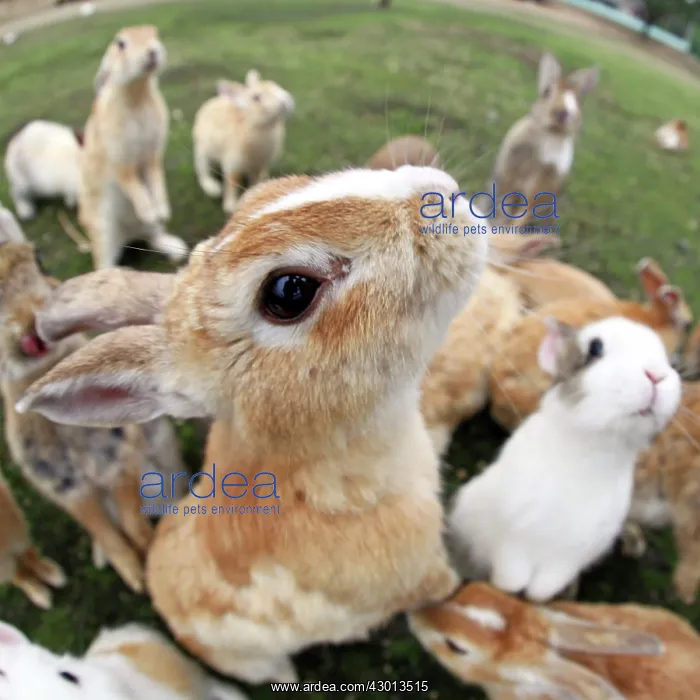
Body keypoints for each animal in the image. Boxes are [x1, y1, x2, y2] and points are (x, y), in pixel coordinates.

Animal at [0, 206, 155, 593]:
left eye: (39, 259)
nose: (33, 323)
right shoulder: (65, 484)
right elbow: (103, 528)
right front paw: (133, 574)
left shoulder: (118, 455)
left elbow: (128, 511)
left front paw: (145, 555)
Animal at [0, 467, 66, 608]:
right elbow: (20, 577)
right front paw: (37, 591)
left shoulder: (18, 536)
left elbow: (31, 555)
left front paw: (49, 571)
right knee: (18, 577)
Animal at [79, 25, 188, 269]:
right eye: (120, 43)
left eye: (154, 33)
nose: (152, 52)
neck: (137, 92)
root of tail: (127, 236)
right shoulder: (122, 162)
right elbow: (132, 183)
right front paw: (149, 212)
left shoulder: (152, 157)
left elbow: (156, 178)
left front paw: (162, 212)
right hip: (103, 231)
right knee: (104, 262)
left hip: (145, 232)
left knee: (152, 237)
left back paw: (177, 248)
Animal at [192, 71, 295, 214]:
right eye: (256, 98)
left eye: (275, 85)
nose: (285, 101)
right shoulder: (232, 164)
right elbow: (232, 183)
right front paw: (230, 207)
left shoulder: (258, 165)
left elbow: (254, 181)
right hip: (202, 152)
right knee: (202, 169)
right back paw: (212, 188)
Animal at [448, 316, 682, 603]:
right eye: (595, 348)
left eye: (670, 361)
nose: (656, 374)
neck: (590, 448)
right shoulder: (512, 540)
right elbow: (512, 576)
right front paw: (508, 589)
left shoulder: (570, 556)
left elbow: (543, 586)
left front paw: (538, 598)